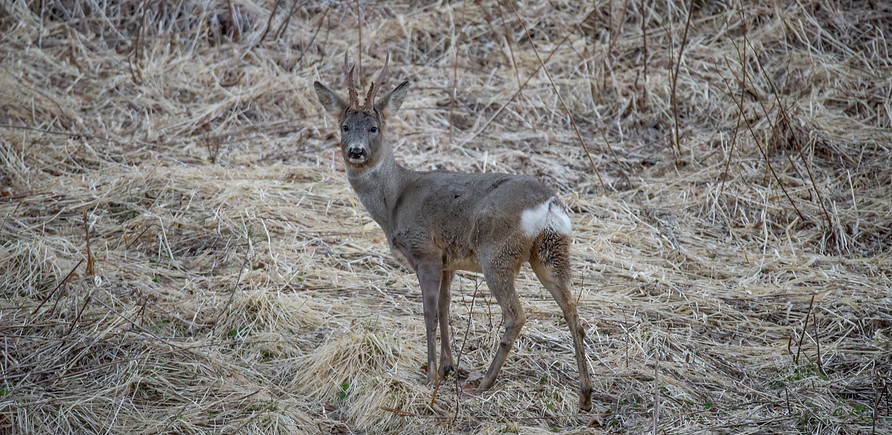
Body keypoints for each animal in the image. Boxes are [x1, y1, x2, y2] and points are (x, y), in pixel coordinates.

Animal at [312, 56, 593, 411]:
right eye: (345, 127)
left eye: (374, 128)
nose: (356, 152)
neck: (395, 200)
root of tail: (548, 205)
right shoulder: (449, 261)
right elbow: (446, 307)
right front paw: (447, 367)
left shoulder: (426, 252)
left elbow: (430, 313)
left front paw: (431, 374)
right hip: (551, 250)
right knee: (572, 309)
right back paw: (585, 394)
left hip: (497, 254)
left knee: (516, 314)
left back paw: (485, 382)